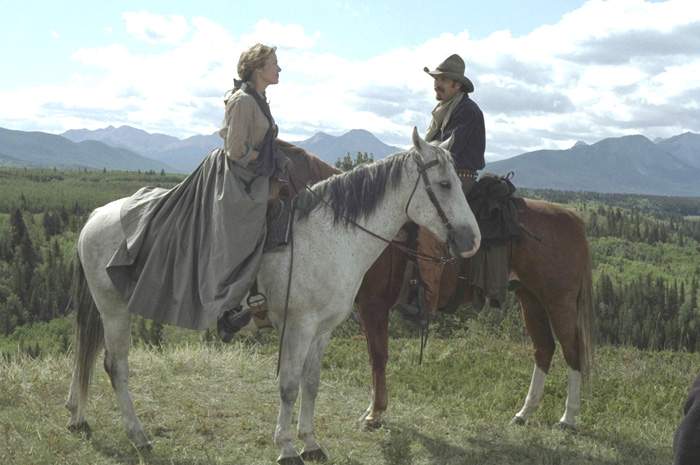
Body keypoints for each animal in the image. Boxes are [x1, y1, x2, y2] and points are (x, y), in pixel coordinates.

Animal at [67, 129, 482, 464]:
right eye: (444, 184)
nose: (472, 241)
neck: (332, 236)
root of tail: (96, 215)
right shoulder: (298, 325)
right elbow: (289, 385)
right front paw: (286, 446)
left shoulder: (323, 328)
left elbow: (311, 383)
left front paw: (311, 443)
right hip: (114, 310)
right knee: (115, 366)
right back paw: (138, 436)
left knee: (85, 351)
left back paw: (77, 416)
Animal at [282, 140, 592, 428]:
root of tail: (575, 218)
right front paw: (374, 408)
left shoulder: (373, 305)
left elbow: (378, 355)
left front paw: (376, 412)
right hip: (531, 298)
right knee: (544, 349)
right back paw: (524, 413)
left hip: (559, 301)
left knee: (571, 349)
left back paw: (568, 417)